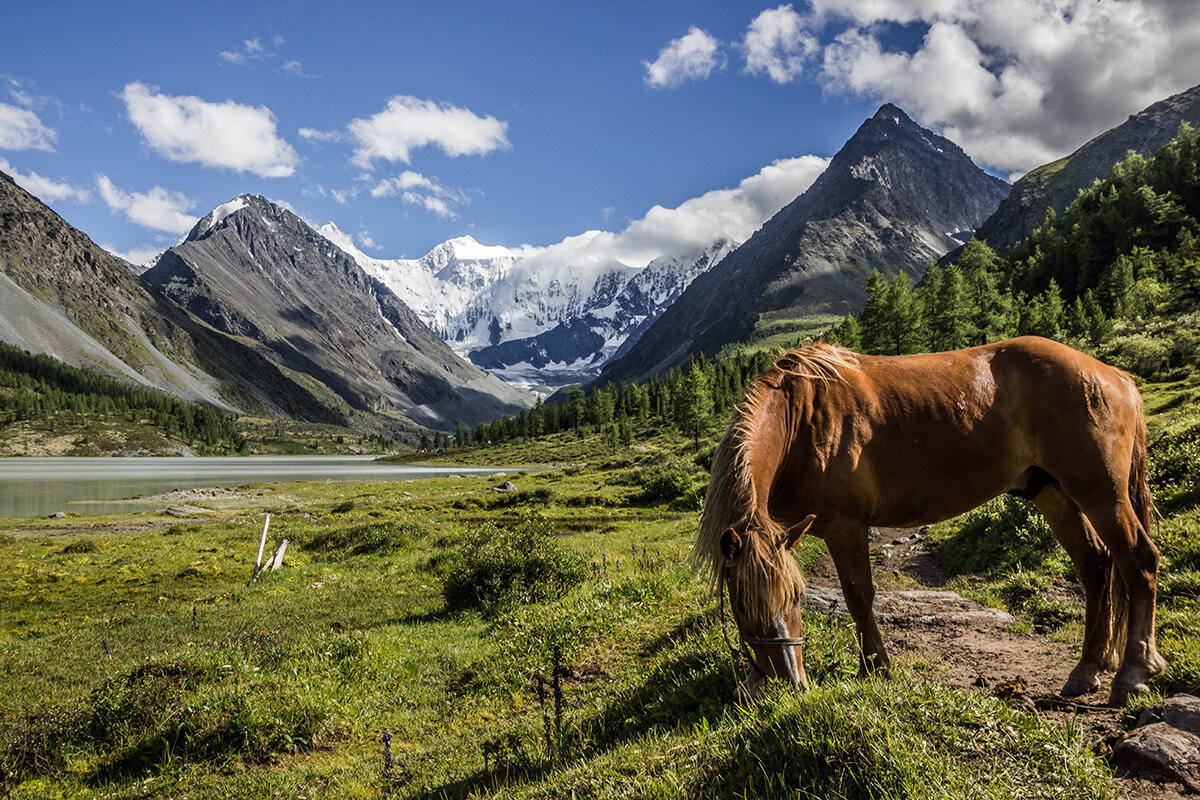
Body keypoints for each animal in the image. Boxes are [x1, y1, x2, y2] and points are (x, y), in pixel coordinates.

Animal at [696, 336, 1163, 706]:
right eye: (741, 604)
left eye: (796, 596)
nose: (789, 684)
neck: (803, 418)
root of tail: (1112, 375)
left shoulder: (845, 525)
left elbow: (859, 596)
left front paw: (876, 667)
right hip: (1053, 493)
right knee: (1096, 565)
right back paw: (1087, 670)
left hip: (1101, 494)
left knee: (1138, 559)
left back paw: (1132, 673)